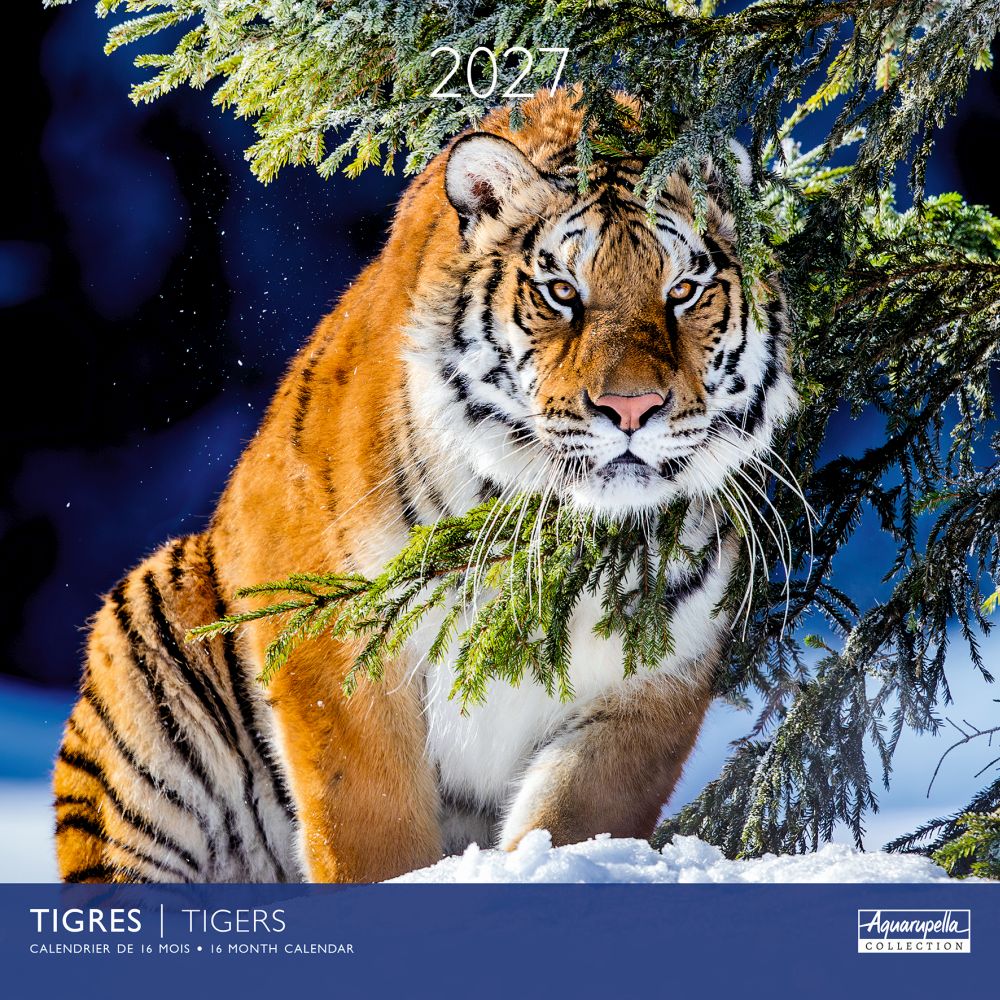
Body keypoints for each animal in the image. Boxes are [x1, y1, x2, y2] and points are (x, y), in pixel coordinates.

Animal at [53, 88, 796, 883]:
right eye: (561, 291)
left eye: (683, 291)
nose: (631, 408)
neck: (564, 542)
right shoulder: (336, 645)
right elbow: (369, 829)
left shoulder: (654, 683)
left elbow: (575, 817)